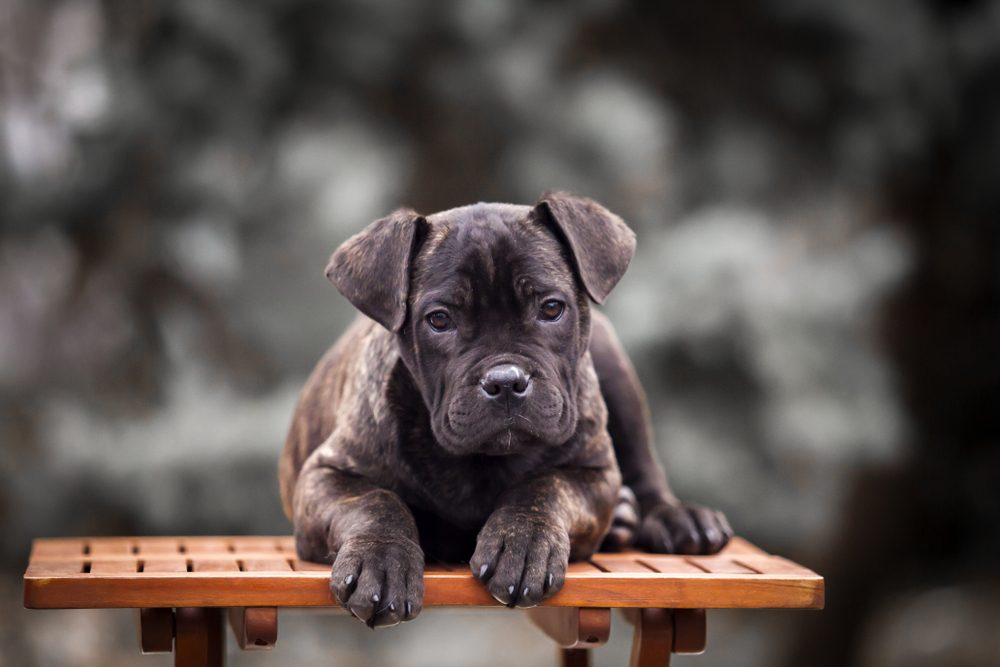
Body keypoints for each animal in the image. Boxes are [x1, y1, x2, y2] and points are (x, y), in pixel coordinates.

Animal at [278, 192, 732, 628]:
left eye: (551, 308)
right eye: (439, 320)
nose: (506, 380)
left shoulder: (594, 472)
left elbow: (544, 487)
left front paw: (523, 544)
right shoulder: (324, 475)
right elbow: (375, 501)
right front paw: (382, 560)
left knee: (645, 469)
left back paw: (677, 519)